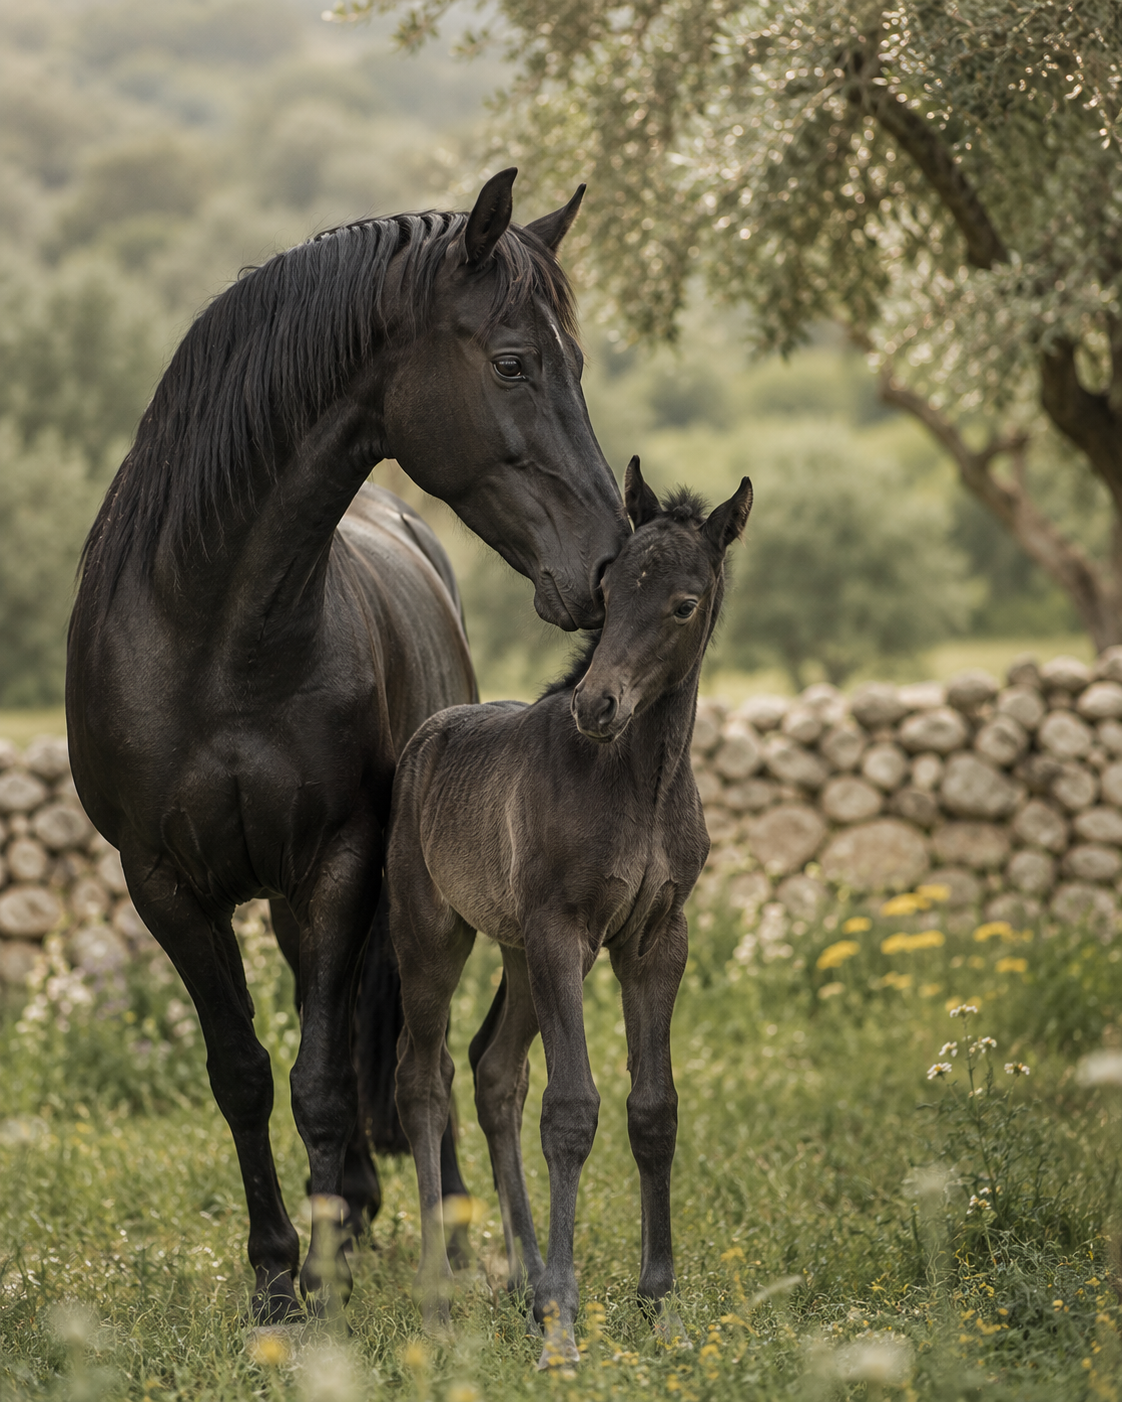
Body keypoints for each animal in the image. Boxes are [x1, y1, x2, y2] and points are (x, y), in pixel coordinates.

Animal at [65, 168, 629, 1324]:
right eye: (513, 362)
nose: (607, 565)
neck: (215, 638)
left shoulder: (338, 864)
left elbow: (323, 1077)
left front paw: (317, 1277)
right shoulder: (162, 884)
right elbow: (240, 1072)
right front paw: (276, 1271)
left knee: (417, 1042)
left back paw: (433, 1218)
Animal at [384, 457, 752, 1365]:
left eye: (683, 604)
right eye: (609, 591)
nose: (596, 706)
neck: (637, 783)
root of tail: (424, 738)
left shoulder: (653, 940)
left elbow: (652, 1109)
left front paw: (662, 1309)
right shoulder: (562, 931)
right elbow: (572, 1111)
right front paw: (563, 1325)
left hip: (520, 955)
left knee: (493, 1071)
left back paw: (520, 1283)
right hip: (435, 938)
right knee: (424, 1080)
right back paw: (442, 1303)